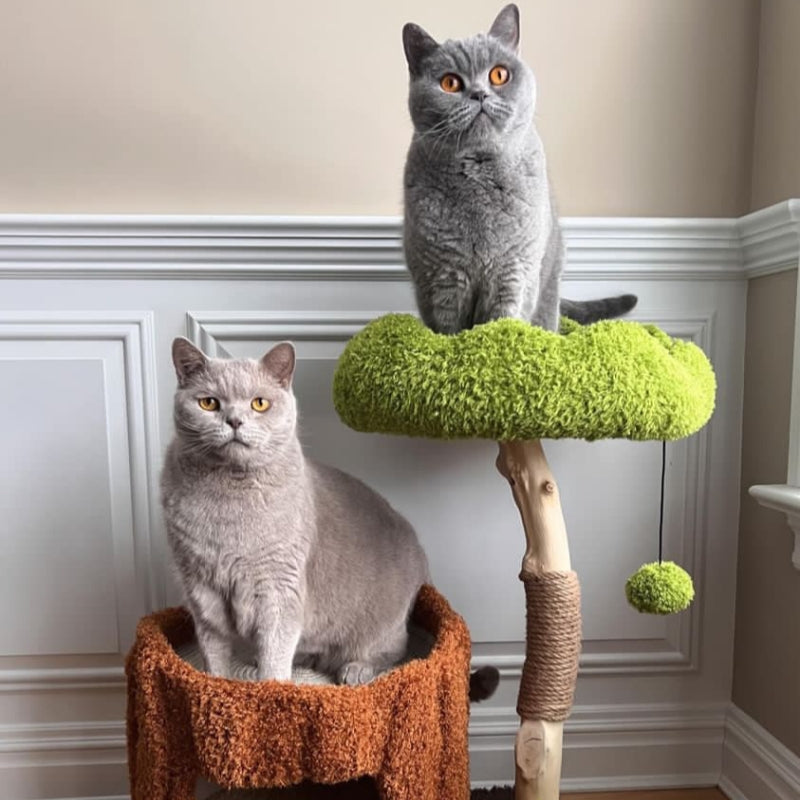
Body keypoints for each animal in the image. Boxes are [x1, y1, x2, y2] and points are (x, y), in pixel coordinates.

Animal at [162, 338, 500, 700]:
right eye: (209, 403)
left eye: (260, 404)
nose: (235, 421)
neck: (228, 502)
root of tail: (421, 552)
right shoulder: (201, 591)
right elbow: (214, 656)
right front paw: (215, 687)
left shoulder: (279, 590)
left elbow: (274, 656)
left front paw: (270, 692)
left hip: (381, 626)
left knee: (395, 650)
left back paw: (355, 670)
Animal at [404, 4, 636, 332]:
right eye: (450, 83)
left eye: (499, 75)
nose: (479, 93)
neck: (479, 178)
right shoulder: (442, 279)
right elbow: (449, 333)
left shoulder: (513, 272)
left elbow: (501, 325)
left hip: (548, 279)